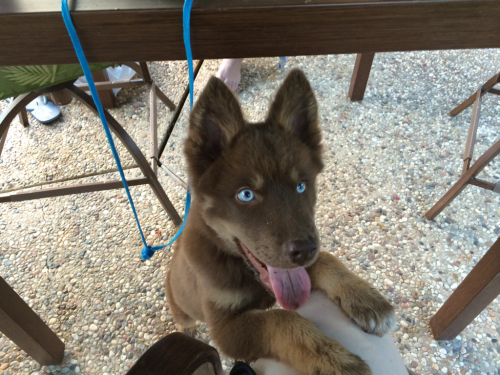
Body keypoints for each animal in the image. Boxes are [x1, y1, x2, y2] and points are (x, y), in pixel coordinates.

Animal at [166, 70, 396, 375]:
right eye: (246, 194)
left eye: (301, 186)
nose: (305, 250)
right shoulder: (226, 329)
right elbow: (282, 321)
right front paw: (335, 360)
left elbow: (327, 259)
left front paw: (365, 298)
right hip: (180, 305)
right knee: (185, 319)